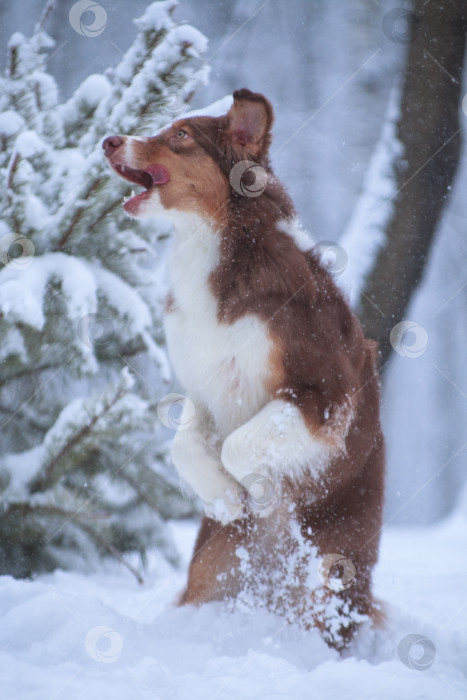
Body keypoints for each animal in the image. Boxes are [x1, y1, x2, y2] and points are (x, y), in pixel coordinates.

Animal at [104, 89, 386, 652]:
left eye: (182, 135)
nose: (108, 140)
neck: (216, 246)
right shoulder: (203, 389)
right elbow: (185, 443)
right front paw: (226, 501)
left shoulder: (324, 390)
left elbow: (239, 443)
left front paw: (254, 492)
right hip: (212, 568)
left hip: (334, 568)